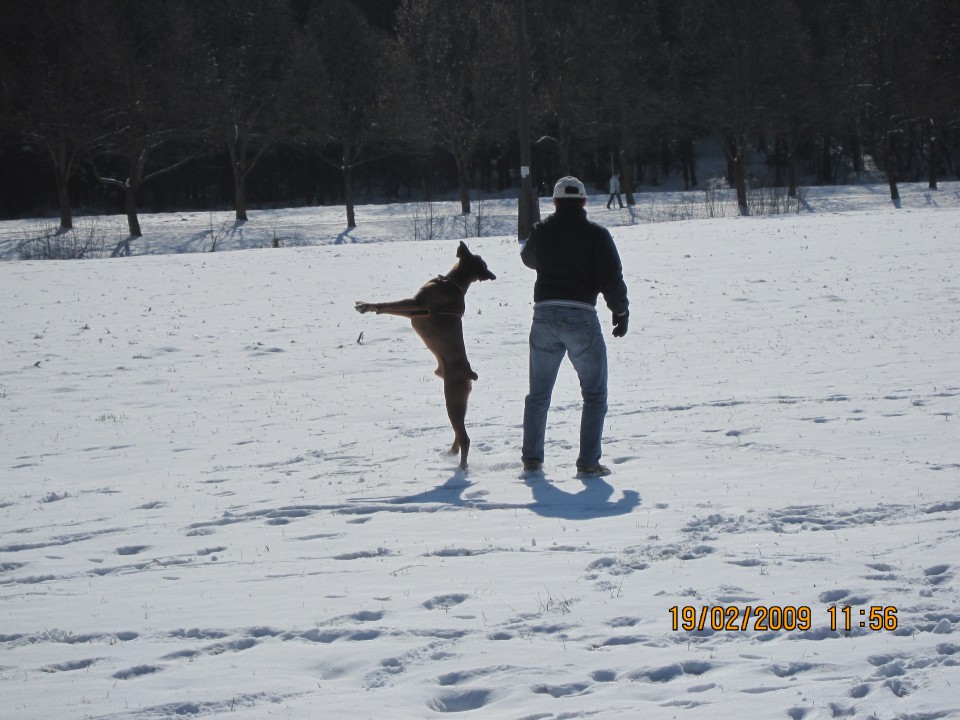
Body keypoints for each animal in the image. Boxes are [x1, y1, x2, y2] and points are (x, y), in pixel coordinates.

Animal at [356, 239, 498, 470]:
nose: (491, 274)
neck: (452, 283)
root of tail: (470, 373)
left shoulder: (416, 305)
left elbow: (387, 304)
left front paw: (366, 306)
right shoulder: (414, 311)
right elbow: (388, 308)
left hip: (453, 399)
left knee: (465, 437)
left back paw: (461, 467)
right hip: (459, 403)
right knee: (458, 435)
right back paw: (450, 453)